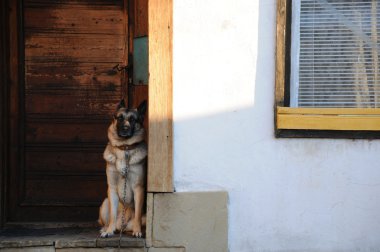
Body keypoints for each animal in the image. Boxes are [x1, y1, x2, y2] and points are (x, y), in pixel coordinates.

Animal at [98, 99, 148, 237]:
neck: (124, 148)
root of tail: (122, 226)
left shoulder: (138, 188)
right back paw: (107, 228)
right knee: (109, 219)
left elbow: (137, 214)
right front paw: (109, 231)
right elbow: (113, 214)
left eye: (132, 119)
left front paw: (137, 231)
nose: (125, 129)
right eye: (120, 118)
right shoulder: (112, 189)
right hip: (105, 203)